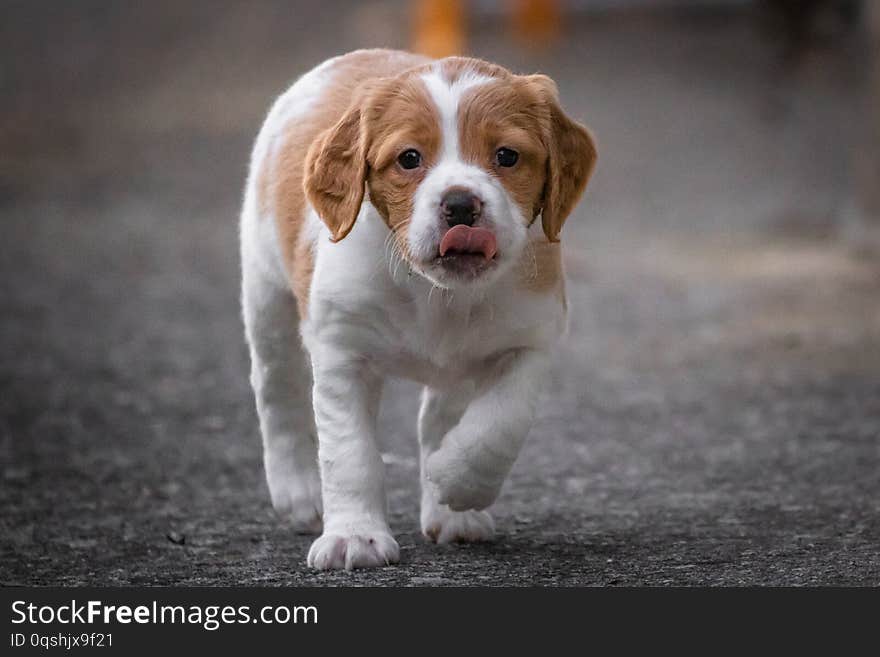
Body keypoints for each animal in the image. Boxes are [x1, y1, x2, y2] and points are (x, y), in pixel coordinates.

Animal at [241, 48, 600, 568]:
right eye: (409, 158)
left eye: (507, 156)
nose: (461, 205)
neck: (437, 293)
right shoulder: (343, 353)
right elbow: (350, 453)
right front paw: (354, 537)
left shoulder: (530, 340)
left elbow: (500, 423)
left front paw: (454, 479)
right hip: (266, 293)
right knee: (276, 390)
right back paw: (297, 491)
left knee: (439, 417)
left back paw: (448, 510)